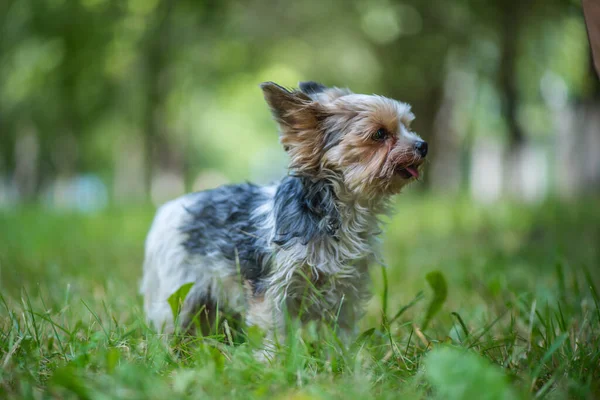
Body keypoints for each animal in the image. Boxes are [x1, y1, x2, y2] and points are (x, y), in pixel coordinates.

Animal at [141, 80, 426, 344]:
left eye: (407, 125)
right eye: (379, 134)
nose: (423, 145)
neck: (339, 213)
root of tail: (169, 207)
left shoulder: (348, 288)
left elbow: (342, 329)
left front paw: (346, 358)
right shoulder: (272, 287)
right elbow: (273, 328)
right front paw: (272, 358)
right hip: (177, 292)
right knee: (170, 321)